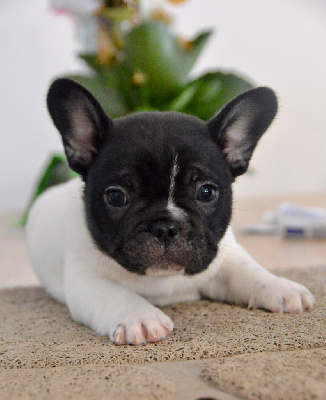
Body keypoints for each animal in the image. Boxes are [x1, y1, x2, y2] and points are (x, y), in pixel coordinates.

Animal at [27, 79, 314, 346]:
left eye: (206, 192)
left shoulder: (224, 256)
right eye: (116, 197)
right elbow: (113, 293)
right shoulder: (84, 277)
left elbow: (247, 271)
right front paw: (140, 318)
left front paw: (281, 287)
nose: (165, 227)